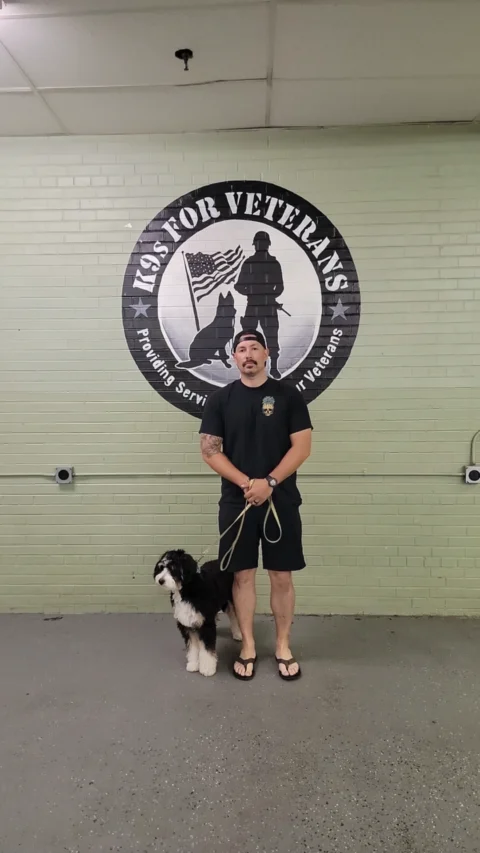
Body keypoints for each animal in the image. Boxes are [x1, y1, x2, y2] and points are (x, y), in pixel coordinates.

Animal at [153, 548, 242, 676]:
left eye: (173, 568)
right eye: (162, 567)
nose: (160, 580)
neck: (187, 590)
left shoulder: (206, 624)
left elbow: (207, 649)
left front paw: (207, 669)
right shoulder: (187, 624)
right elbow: (192, 648)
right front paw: (193, 665)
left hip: (232, 598)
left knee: (234, 615)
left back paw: (238, 634)